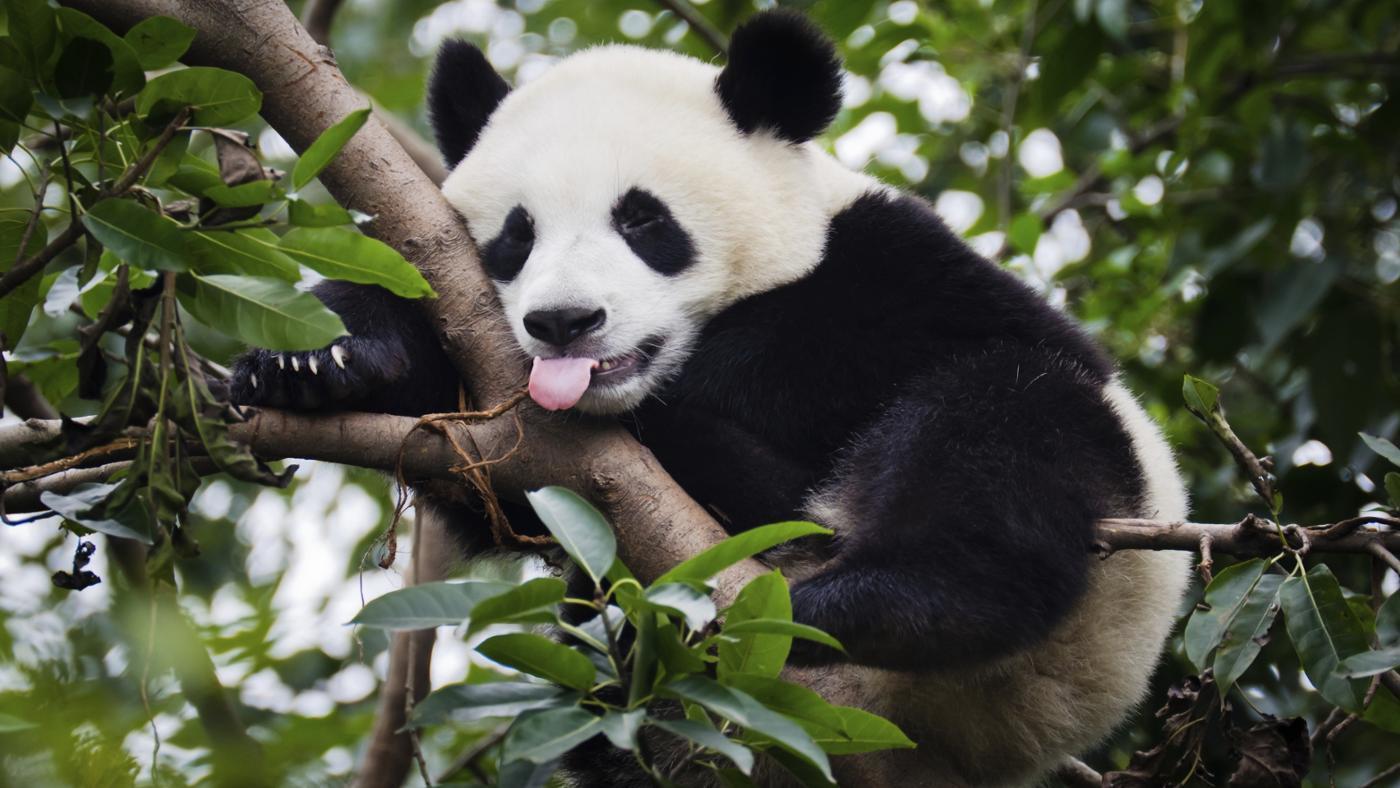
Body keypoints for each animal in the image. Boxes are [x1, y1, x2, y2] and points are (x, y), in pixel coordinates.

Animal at [231, 10, 1190, 786]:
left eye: (644, 221)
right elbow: (482, 469)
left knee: (1007, 426)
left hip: (1085, 617)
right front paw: (316, 362)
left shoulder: (898, 267)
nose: (566, 322)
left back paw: (874, 600)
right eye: (516, 235)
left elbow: (859, 340)